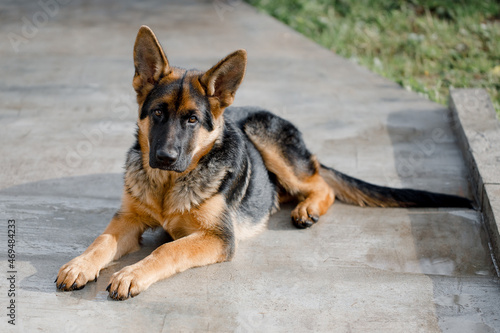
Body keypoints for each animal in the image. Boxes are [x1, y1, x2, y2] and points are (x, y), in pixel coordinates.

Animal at [55, 26, 472, 300]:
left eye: (192, 120)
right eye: (157, 113)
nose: (164, 158)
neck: (168, 185)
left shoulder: (218, 239)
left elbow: (167, 250)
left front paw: (132, 274)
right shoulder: (128, 220)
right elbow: (102, 240)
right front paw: (81, 264)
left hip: (265, 135)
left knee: (321, 184)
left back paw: (307, 209)